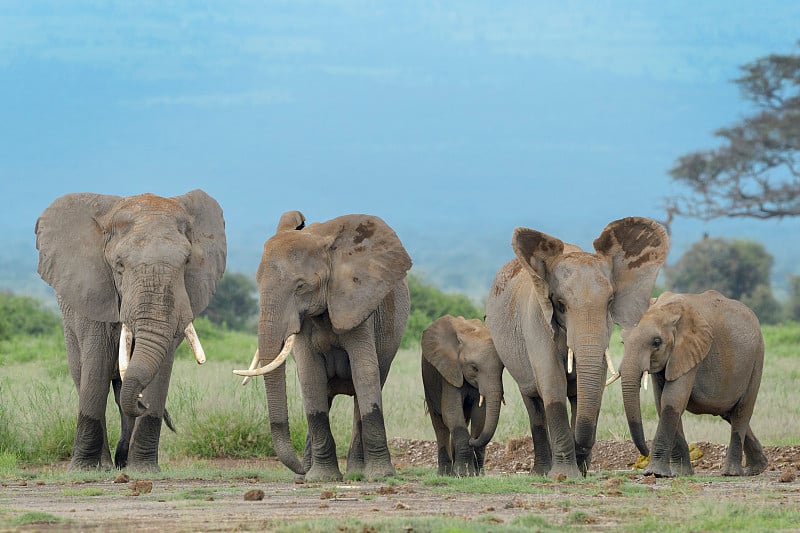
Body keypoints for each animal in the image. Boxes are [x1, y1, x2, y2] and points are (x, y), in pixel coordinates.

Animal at [36, 190, 227, 470]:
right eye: (119, 265)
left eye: (187, 262)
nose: (141, 401)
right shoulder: (94, 292)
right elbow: (96, 367)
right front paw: (83, 469)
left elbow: (161, 366)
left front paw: (144, 469)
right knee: (86, 379)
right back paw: (106, 465)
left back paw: (123, 462)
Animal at [230, 210, 406, 480]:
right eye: (256, 283)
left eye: (301, 286)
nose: (300, 469)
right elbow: (310, 377)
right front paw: (321, 478)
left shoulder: (358, 305)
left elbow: (365, 373)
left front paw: (381, 476)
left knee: (364, 390)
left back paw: (355, 473)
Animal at [422, 314, 504, 476]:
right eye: (474, 368)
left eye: (502, 368)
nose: (472, 441)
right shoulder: (449, 371)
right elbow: (451, 412)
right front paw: (464, 473)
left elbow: (480, 415)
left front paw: (477, 474)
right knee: (439, 424)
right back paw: (445, 473)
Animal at [488, 216, 668, 478]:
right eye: (560, 305)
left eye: (610, 302)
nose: (644, 454)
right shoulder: (536, 320)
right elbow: (552, 382)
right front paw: (564, 474)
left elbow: (593, 384)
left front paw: (579, 469)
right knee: (533, 401)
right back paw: (542, 471)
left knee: (573, 396)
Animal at [620, 290, 764, 478]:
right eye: (623, 342)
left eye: (656, 342)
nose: (645, 452)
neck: (667, 309)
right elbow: (661, 402)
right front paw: (681, 473)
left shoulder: (691, 350)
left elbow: (672, 400)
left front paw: (655, 473)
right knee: (728, 413)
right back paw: (758, 467)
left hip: (756, 360)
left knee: (742, 411)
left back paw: (732, 473)